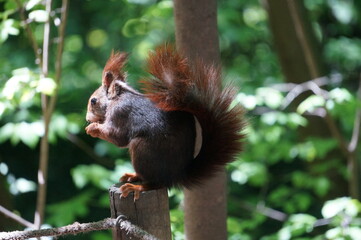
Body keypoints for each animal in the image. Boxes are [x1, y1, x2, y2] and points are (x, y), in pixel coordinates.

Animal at [84, 45, 245, 201]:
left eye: (93, 101)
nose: (87, 119)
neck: (117, 97)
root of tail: (178, 175)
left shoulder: (120, 113)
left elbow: (117, 137)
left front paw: (93, 128)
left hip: (143, 149)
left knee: (157, 183)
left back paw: (137, 187)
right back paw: (133, 176)